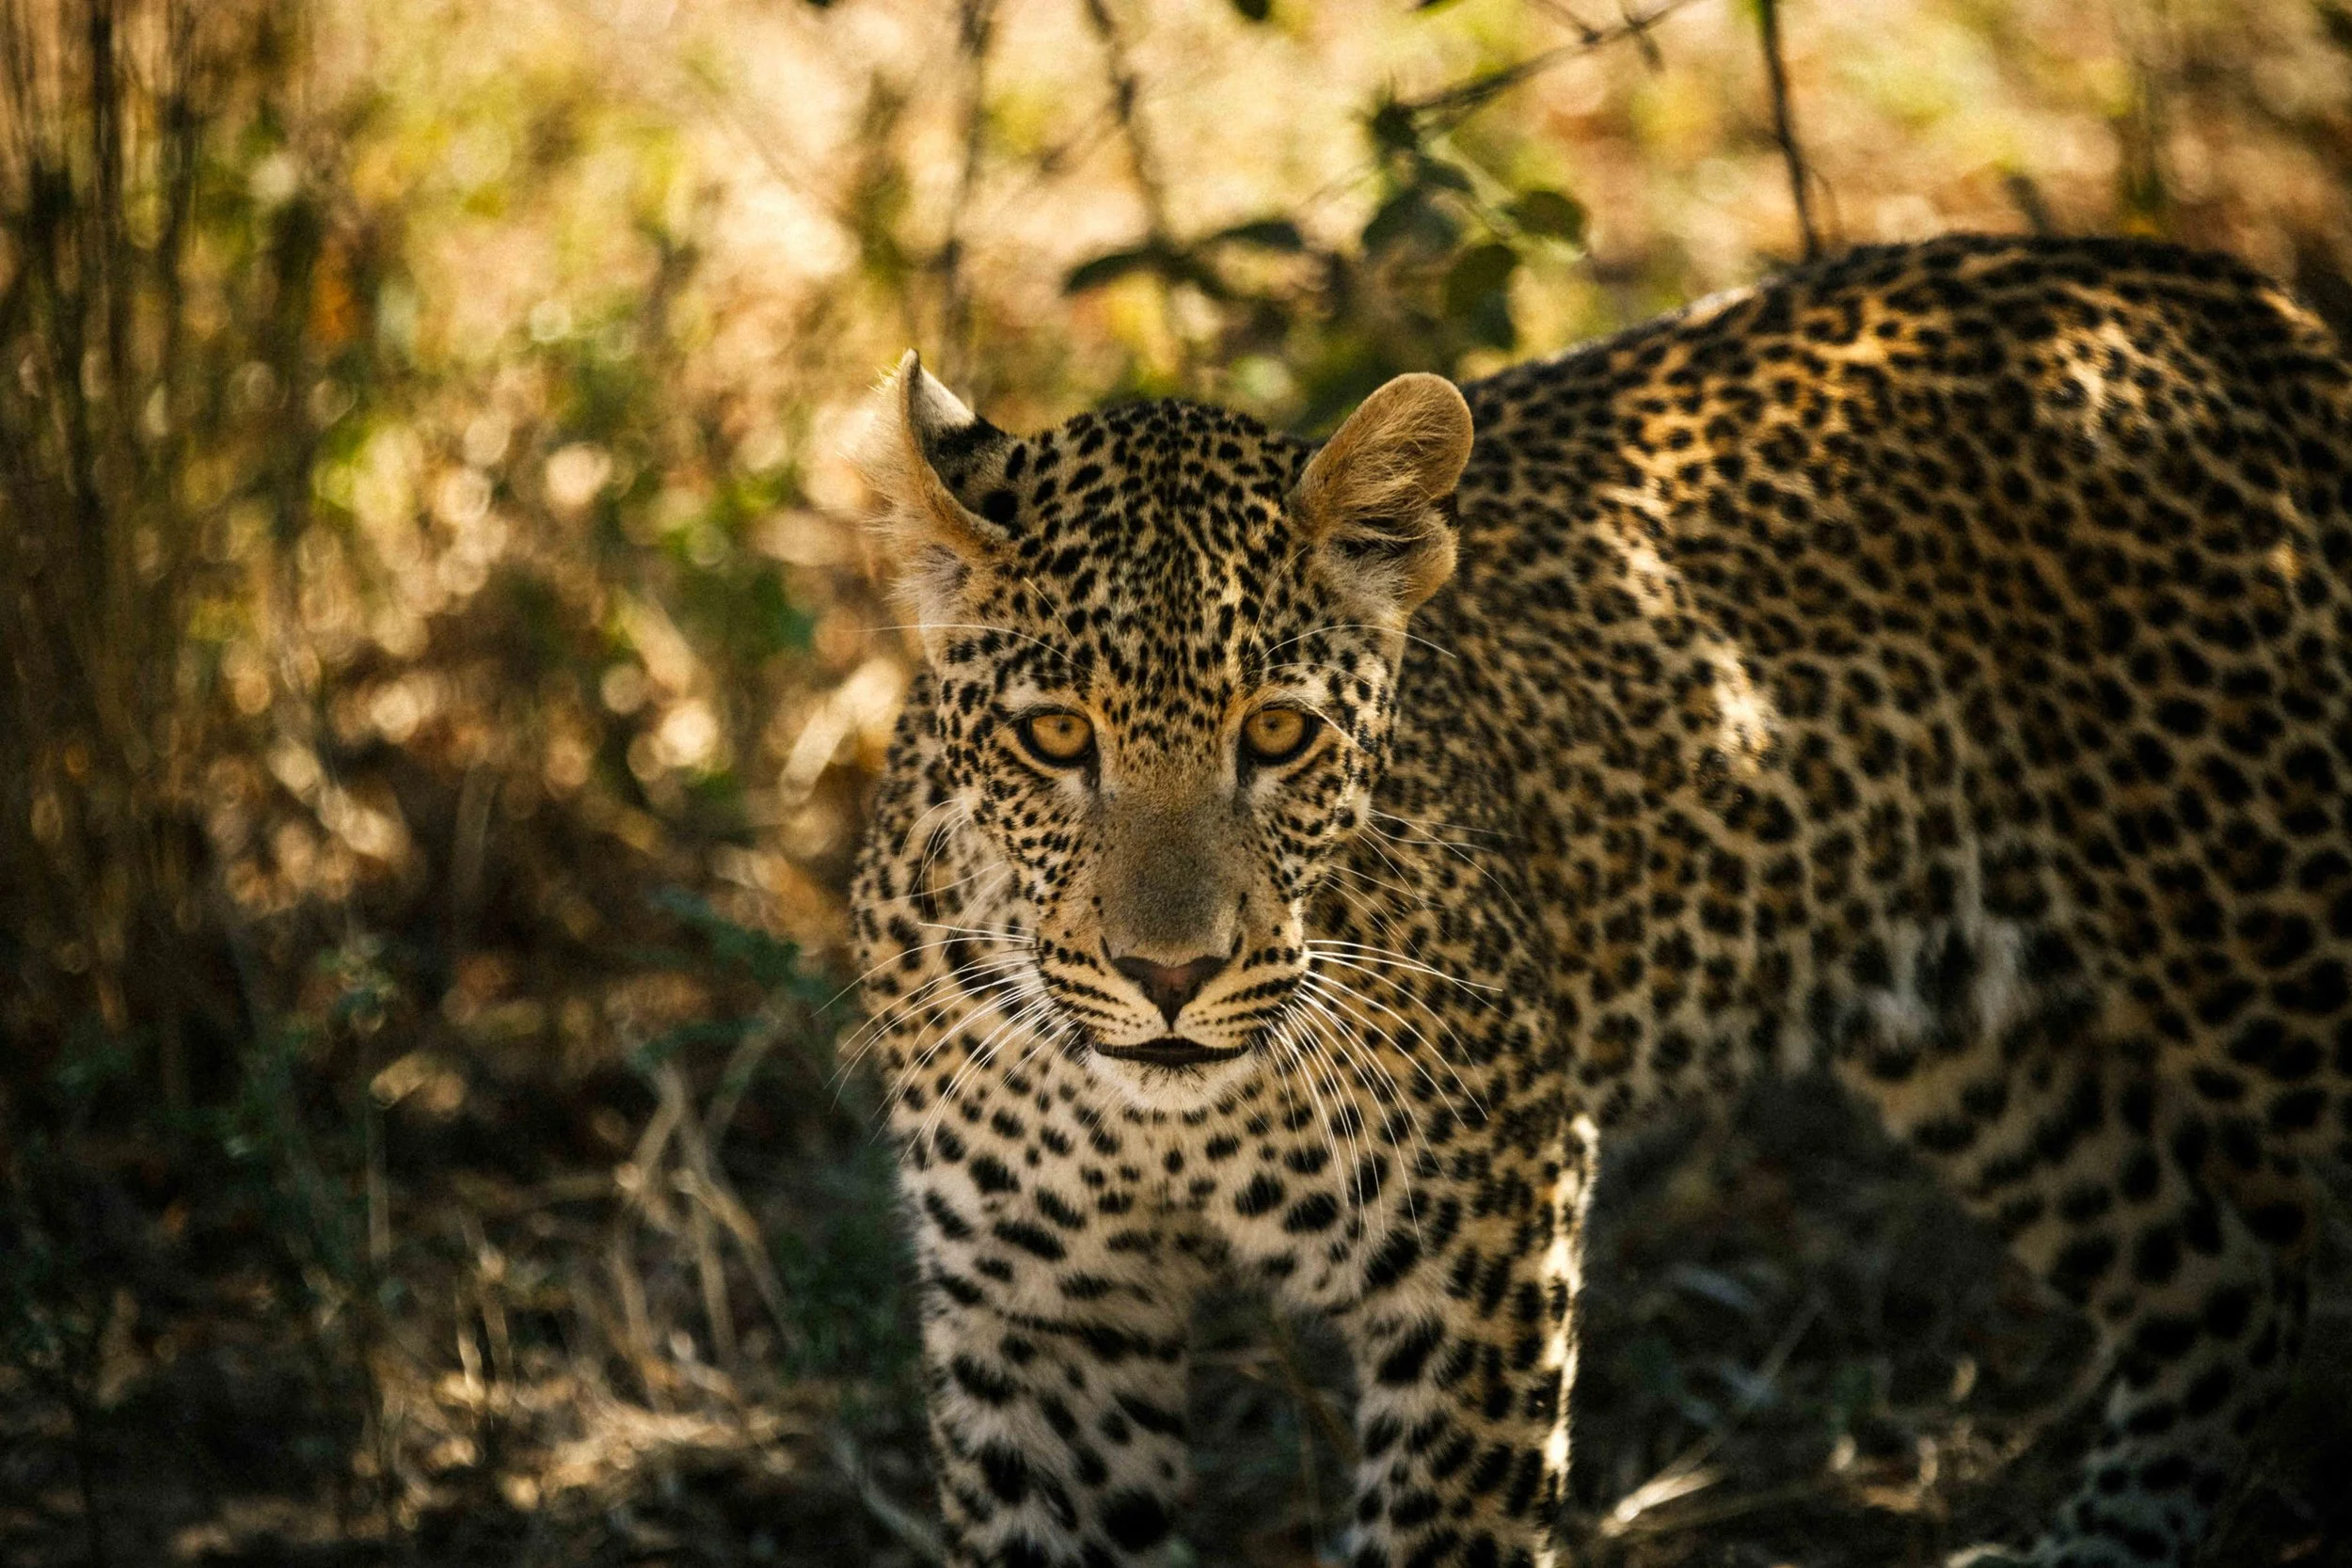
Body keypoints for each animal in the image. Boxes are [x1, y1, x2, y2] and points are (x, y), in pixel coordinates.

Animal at [846, 233, 2352, 1568]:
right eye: (1055, 737)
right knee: (2224, 1284)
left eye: (1275, 733)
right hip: (1980, 1051)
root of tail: (2223, 301)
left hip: (2268, 942)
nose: (1168, 973)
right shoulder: (1038, 1314)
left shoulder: (1483, 1243)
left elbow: (1449, 1529)